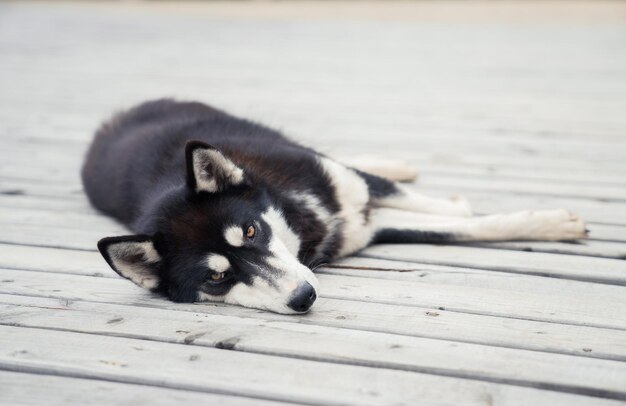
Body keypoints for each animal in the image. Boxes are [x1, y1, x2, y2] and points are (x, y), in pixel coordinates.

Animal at [81, 98, 584, 314]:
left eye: (251, 232)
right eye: (217, 278)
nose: (304, 297)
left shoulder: (352, 190)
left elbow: (457, 217)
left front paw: (551, 222)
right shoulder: (369, 227)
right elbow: (454, 226)